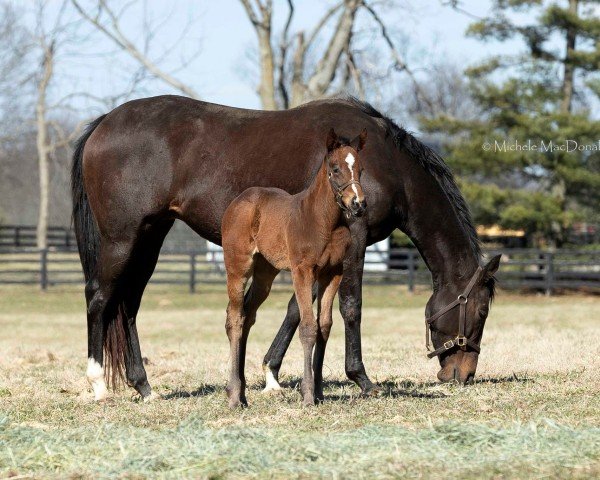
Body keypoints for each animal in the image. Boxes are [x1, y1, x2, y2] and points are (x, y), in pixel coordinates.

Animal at [223, 127, 368, 404]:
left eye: (361, 169)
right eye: (335, 169)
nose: (358, 204)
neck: (323, 221)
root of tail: (238, 201)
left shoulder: (332, 273)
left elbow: (324, 326)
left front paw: (319, 391)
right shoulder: (302, 271)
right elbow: (308, 327)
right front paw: (308, 394)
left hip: (264, 274)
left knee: (247, 316)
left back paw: (243, 393)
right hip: (238, 267)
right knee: (235, 318)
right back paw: (235, 396)